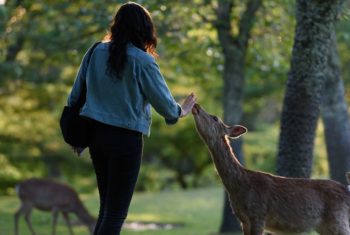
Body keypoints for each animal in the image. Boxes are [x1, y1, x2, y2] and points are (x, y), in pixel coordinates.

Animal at [191, 103, 350, 235]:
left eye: (215, 118)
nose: (196, 105)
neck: (239, 186)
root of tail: (346, 189)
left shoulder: (258, 214)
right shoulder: (243, 220)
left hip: (338, 220)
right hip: (326, 226)